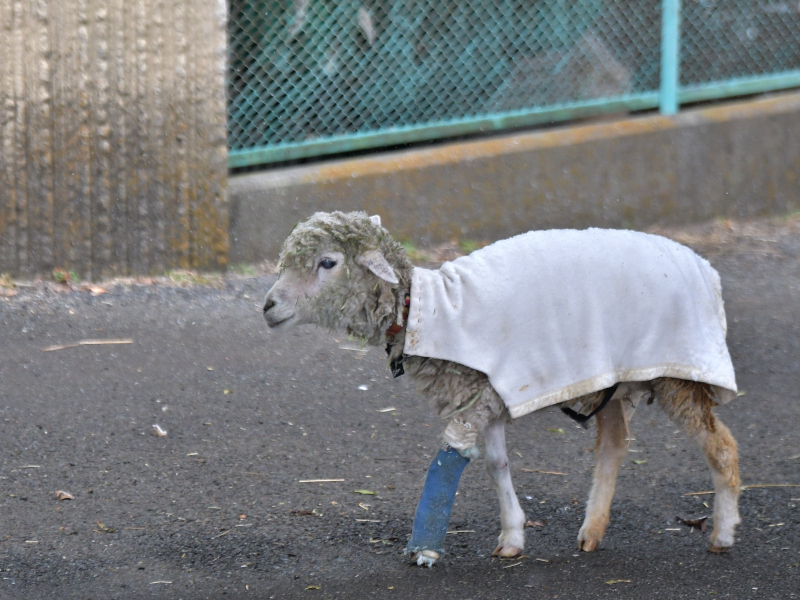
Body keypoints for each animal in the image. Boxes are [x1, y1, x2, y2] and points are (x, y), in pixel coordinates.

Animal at [264, 211, 744, 568]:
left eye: (328, 262)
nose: (267, 306)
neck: (423, 308)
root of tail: (707, 271)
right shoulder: (486, 392)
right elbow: (497, 465)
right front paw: (512, 536)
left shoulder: (477, 397)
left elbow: (451, 454)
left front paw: (425, 547)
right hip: (609, 376)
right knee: (614, 444)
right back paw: (592, 530)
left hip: (679, 375)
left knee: (720, 446)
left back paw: (722, 533)